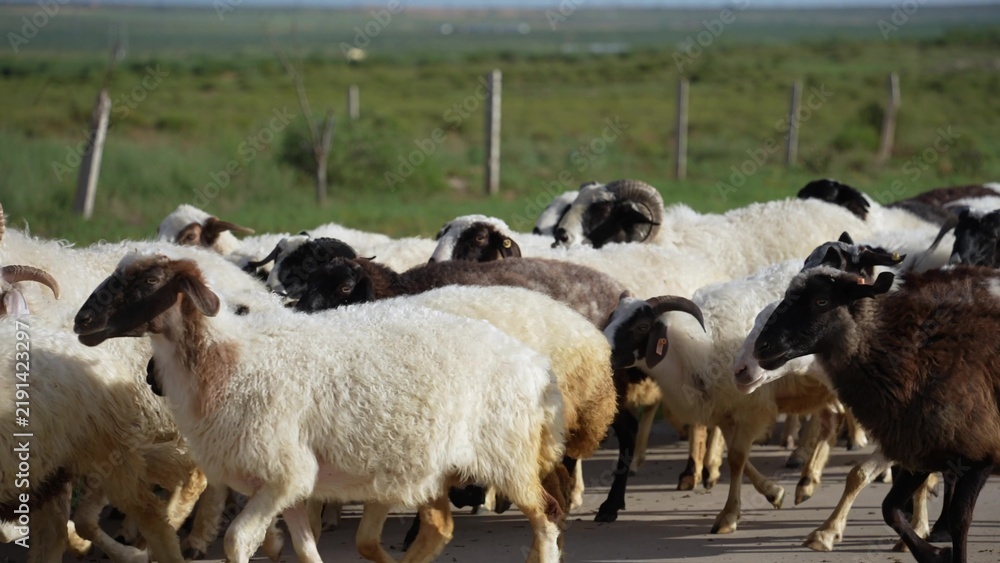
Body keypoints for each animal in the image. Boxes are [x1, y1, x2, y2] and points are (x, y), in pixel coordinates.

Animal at [73, 252, 570, 563]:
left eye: (150, 282)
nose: (83, 321)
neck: (230, 359)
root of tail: (534, 364)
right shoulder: (287, 485)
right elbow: (305, 550)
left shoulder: (282, 474)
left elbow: (237, 541)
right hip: (439, 465)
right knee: (441, 528)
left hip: (507, 454)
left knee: (546, 515)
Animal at [602, 258, 851, 533]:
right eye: (612, 317)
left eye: (642, 326)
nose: (600, 349)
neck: (694, 344)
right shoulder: (723, 409)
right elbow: (736, 454)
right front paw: (773, 492)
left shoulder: (751, 407)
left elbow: (736, 458)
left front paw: (728, 516)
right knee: (834, 418)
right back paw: (807, 482)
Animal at [751, 264, 1000, 563]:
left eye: (822, 301)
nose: (761, 347)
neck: (914, 361)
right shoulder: (920, 449)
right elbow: (889, 509)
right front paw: (933, 553)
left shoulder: (979, 455)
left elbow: (960, 521)